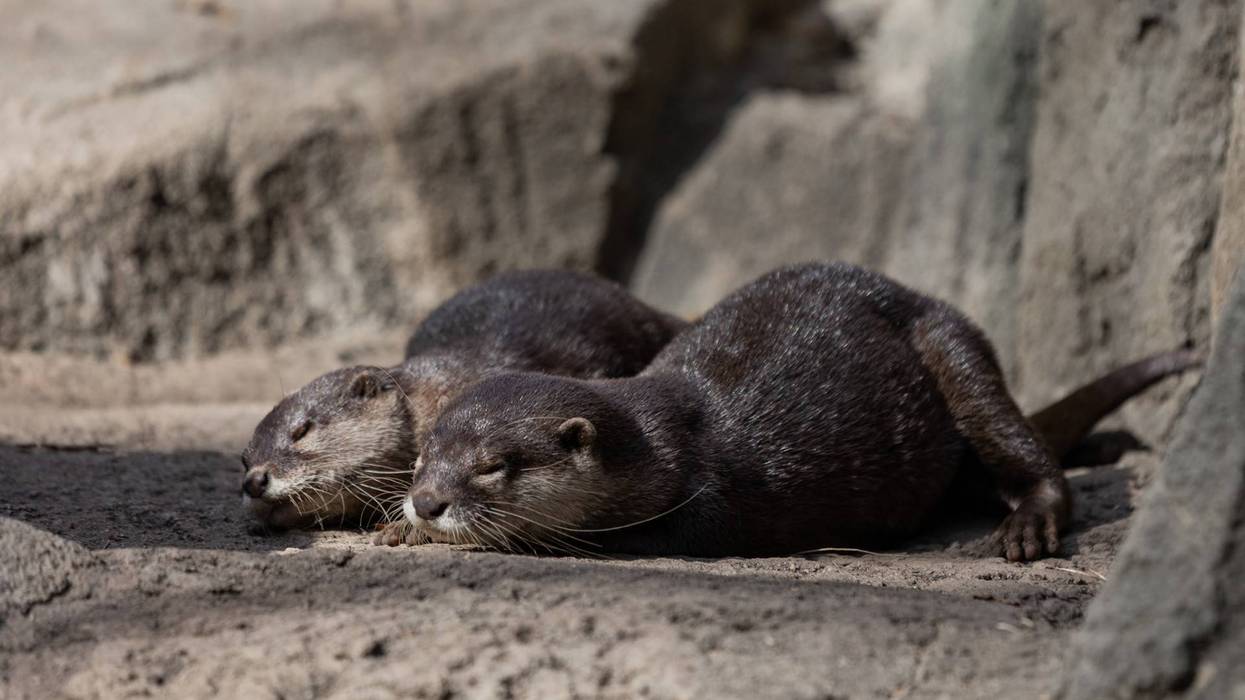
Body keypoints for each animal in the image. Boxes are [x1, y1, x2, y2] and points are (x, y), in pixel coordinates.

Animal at [402, 263, 1198, 561]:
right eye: (422, 457)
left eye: (493, 466)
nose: (427, 501)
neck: (662, 443)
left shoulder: (706, 505)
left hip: (955, 350)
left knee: (1024, 449)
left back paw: (1027, 526)